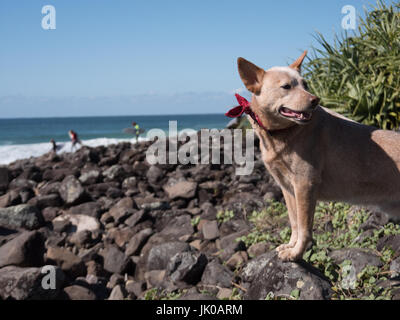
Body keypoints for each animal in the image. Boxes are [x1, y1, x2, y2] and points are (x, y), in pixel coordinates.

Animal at [236, 51, 400, 262]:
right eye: (286, 86)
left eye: (305, 84)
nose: (316, 100)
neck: (283, 134)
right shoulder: (288, 188)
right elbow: (294, 222)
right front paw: (290, 246)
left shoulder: (305, 184)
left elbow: (304, 227)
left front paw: (296, 253)